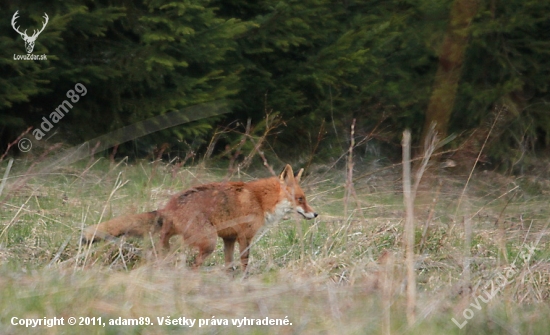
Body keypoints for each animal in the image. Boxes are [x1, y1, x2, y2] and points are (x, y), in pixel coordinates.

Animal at [82, 165, 316, 272]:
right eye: (301, 199)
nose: (316, 214)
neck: (259, 200)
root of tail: (168, 207)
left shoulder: (229, 238)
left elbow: (229, 265)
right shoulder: (244, 237)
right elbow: (244, 263)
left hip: (183, 243)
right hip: (208, 242)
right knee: (193, 266)